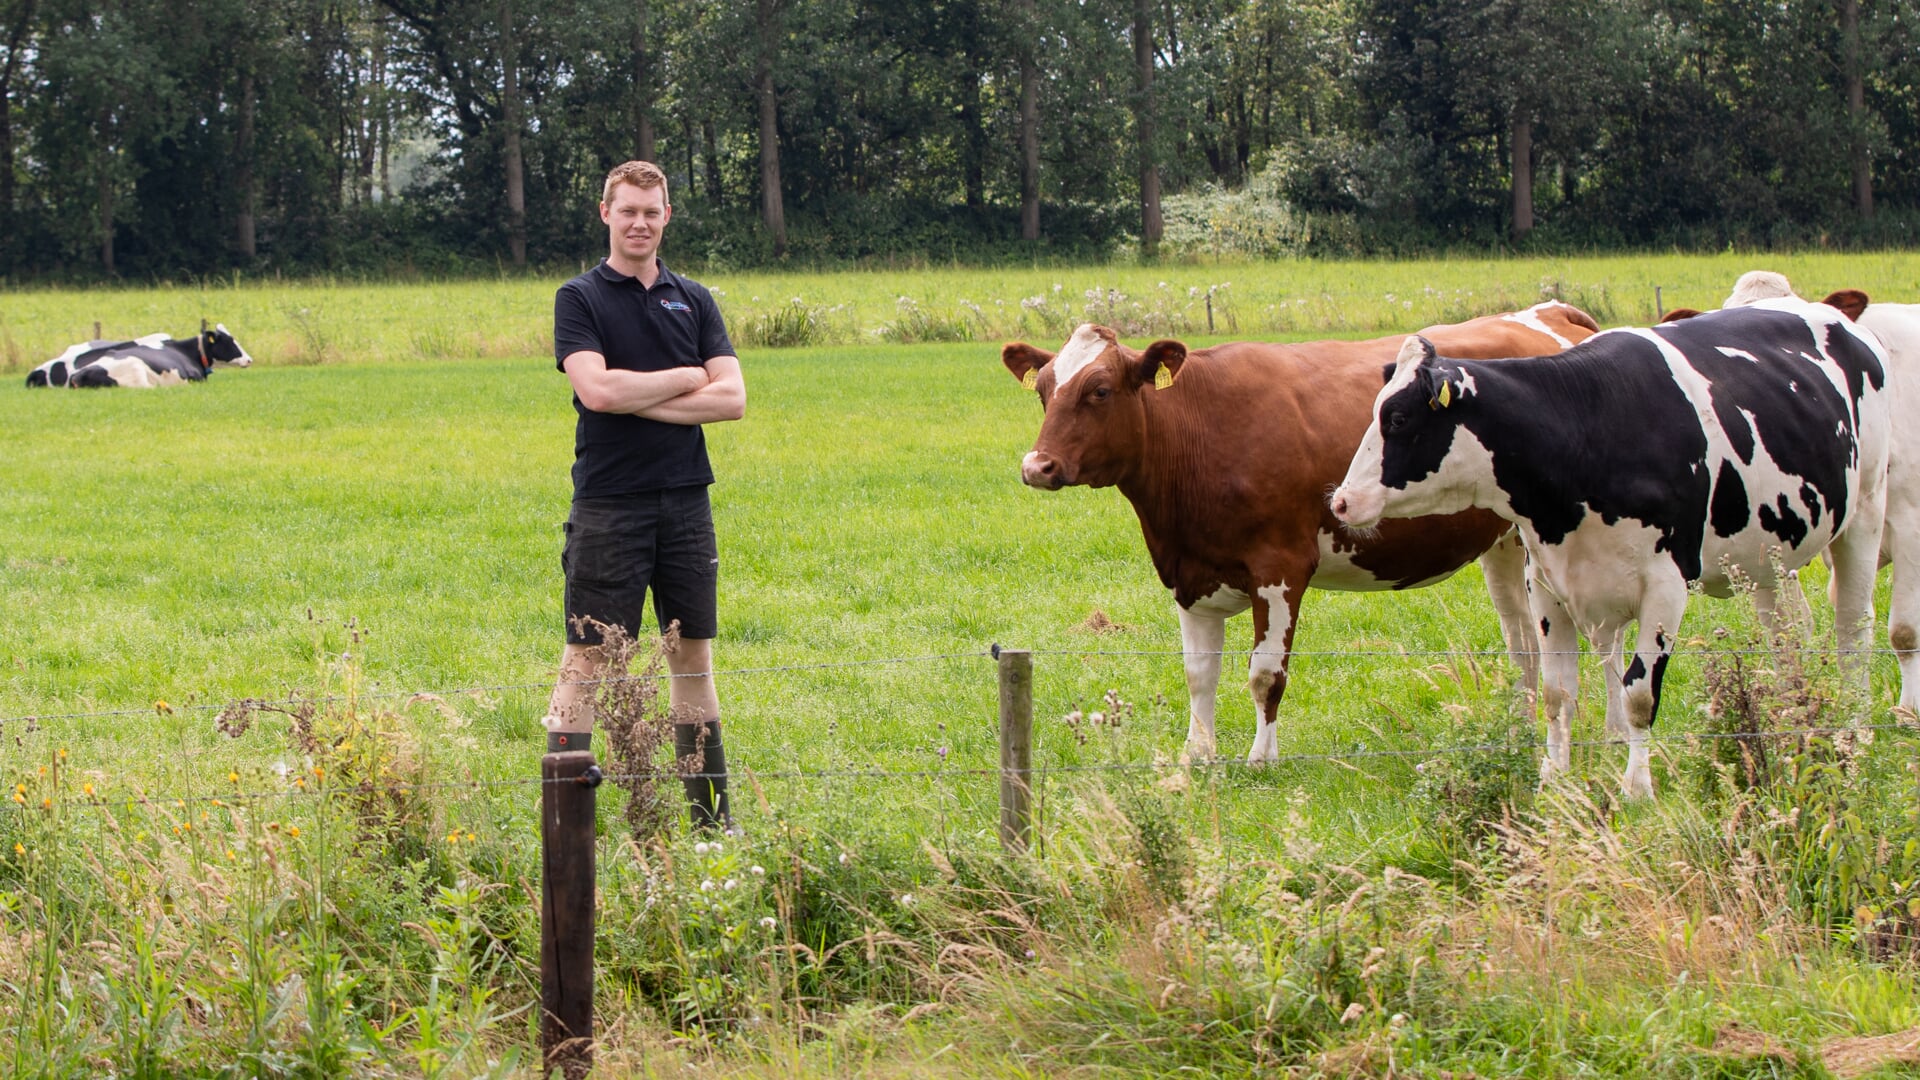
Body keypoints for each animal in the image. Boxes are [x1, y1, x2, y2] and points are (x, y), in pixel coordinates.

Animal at [998, 297, 1597, 760]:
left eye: (1099, 390)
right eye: (1043, 390)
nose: (1037, 466)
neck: (1201, 430)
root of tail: (1548, 310)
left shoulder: (1281, 566)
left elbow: (1265, 673)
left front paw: (1261, 758)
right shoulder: (1188, 572)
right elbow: (1198, 673)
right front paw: (1197, 755)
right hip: (1504, 540)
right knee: (1521, 641)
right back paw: (1516, 731)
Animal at [1328, 297, 1896, 795]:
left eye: (1398, 419)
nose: (1342, 501)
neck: (1586, 432)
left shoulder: (1667, 586)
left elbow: (1638, 694)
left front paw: (1636, 787)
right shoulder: (1547, 583)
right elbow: (1557, 695)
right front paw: (1554, 782)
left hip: (1867, 509)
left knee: (1853, 628)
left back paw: (1855, 731)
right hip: (1768, 557)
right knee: (1787, 634)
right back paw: (1792, 718)